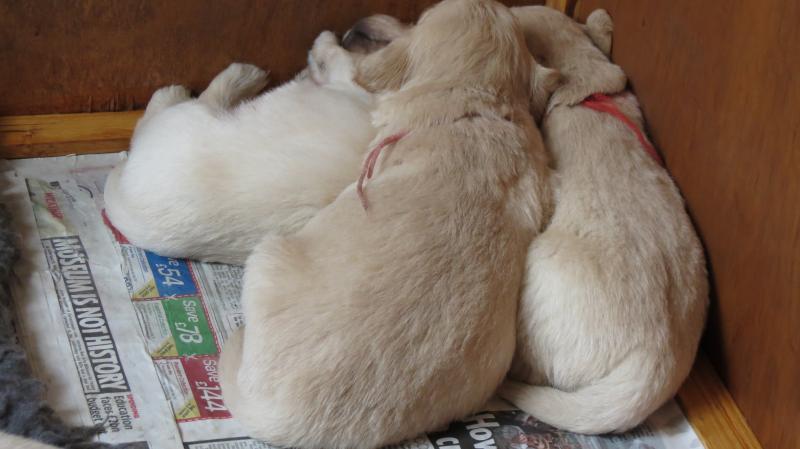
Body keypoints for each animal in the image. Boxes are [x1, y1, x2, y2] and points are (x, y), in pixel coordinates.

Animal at [216, 0, 560, 448]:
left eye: (415, 19)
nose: (357, 23)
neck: (477, 104)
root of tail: (277, 419)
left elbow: (344, 65)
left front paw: (325, 46)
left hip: (267, 256)